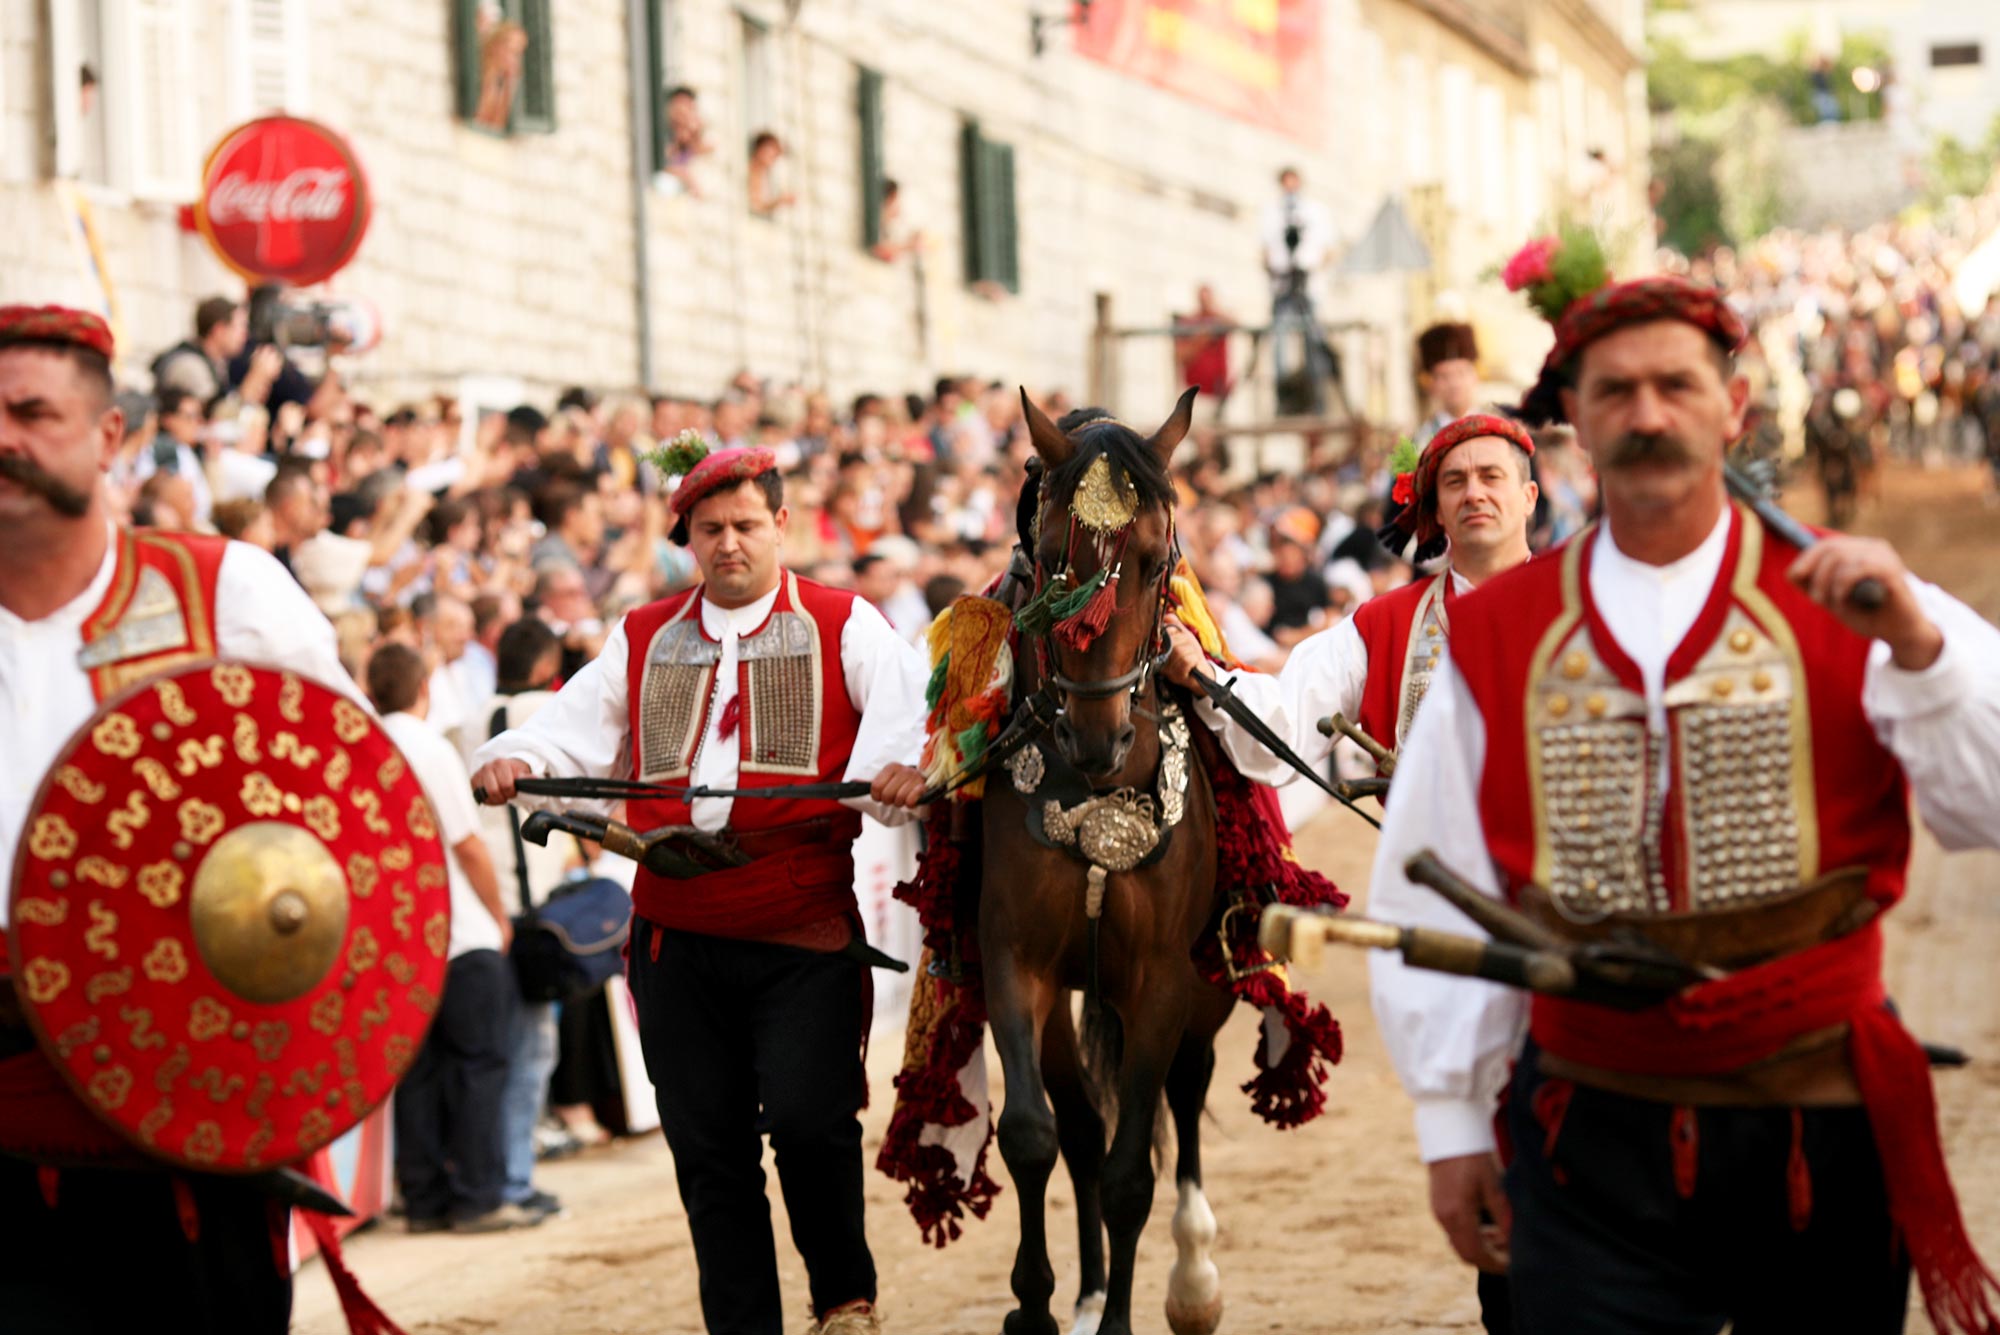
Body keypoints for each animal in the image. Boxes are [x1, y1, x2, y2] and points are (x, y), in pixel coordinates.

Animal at [980, 391, 1240, 1335]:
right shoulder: (1017, 961)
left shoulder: (1162, 978)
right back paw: (1091, 1287)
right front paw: (1035, 1304)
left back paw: (1191, 1276)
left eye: (1156, 557)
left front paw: (1130, 1310)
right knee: (1083, 1123)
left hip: (1205, 985)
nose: (1098, 739)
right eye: (1054, 560)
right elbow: (1034, 1133)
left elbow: (1134, 1171)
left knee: (1185, 1093)